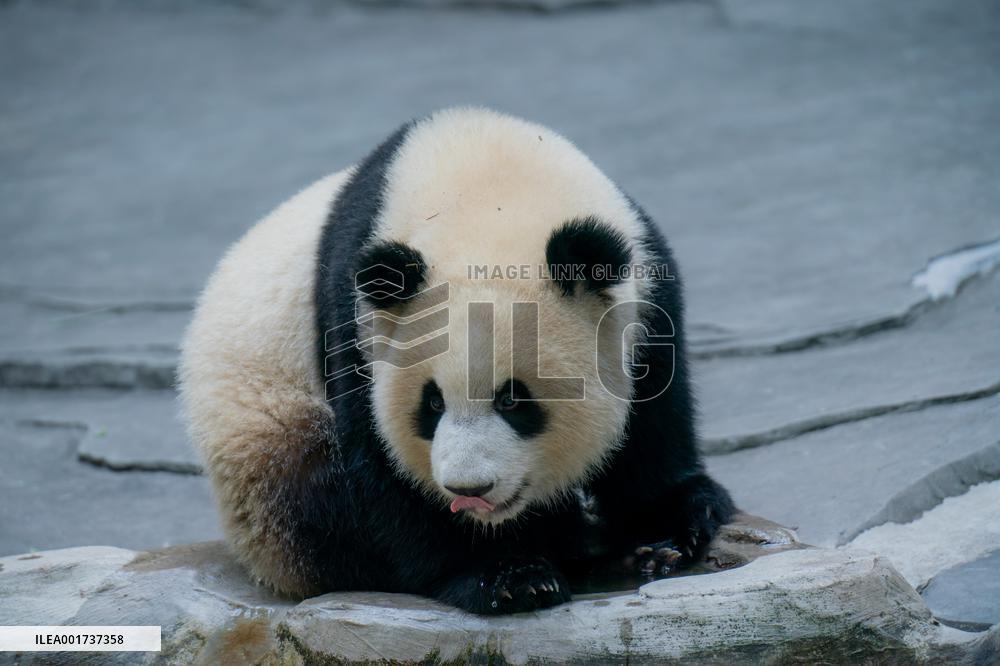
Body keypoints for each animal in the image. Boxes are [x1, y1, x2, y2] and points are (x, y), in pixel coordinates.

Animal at [179, 107, 734, 614]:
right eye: (431, 404)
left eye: (514, 400)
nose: (470, 489)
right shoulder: (353, 319)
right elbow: (382, 469)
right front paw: (508, 576)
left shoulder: (645, 291)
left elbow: (653, 420)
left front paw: (662, 539)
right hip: (267, 448)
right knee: (317, 504)